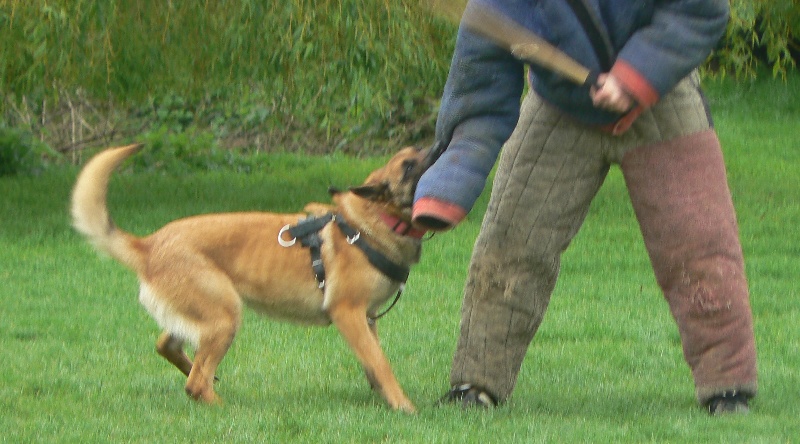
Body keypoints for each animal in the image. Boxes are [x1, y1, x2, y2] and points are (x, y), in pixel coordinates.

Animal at [70, 146, 438, 412]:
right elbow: (381, 362)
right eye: (408, 165)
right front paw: (403, 406)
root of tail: (148, 245)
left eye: (416, 150)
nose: (437, 145)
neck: (373, 223)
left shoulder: (367, 318)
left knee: (170, 347)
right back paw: (225, 407)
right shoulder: (348, 313)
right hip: (226, 316)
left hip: (203, 315)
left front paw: (382, 398)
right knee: (196, 383)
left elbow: (372, 363)